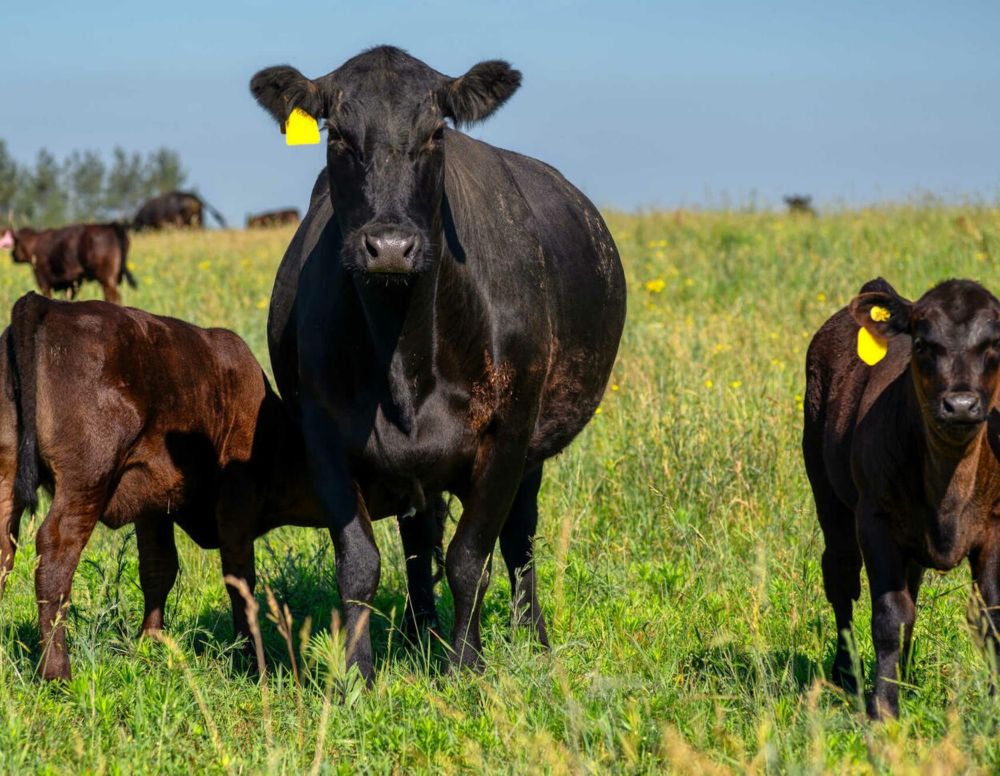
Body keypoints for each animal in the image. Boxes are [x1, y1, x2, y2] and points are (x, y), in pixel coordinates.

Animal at [0, 223, 136, 304]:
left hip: (107, 279)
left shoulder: (42, 279)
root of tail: (109, 225)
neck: (34, 243)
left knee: (114, 298)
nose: (13, 256)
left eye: (15, 243)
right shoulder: (71, 283)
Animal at [0, 294, 446, 684]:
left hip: (9, 479)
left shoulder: (152, 504)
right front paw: (251, 656)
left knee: (5, 548)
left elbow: (158, 569)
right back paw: (57, 672)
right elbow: (240, 577)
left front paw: (152, 643)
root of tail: (51, 307)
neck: (280, 434)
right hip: (86, 481)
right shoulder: (235, 505)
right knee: (55, 555)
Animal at [250, 45, 624, 684]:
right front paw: (357, 676)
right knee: (417, 538)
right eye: (338, 135)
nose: (390, 247)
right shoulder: (322, 435)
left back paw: (530, 637)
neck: (405, 358)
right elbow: (361, 562)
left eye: (434, 134)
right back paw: (419, 632)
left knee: (519, 538)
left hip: (532, 446)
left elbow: (471, 557)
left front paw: (465, 667)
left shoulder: (507, 435)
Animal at [800, 276, 1000, 720]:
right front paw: (883, 708)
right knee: (840, 576)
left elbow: (992, 614)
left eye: (995, 342)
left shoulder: (996, 527)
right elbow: (890, 616)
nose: (961, 405)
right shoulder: (875, 521)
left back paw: (904, 676)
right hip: (829, 496)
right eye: (922, 342)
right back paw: (848, 674)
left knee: (913, 585)